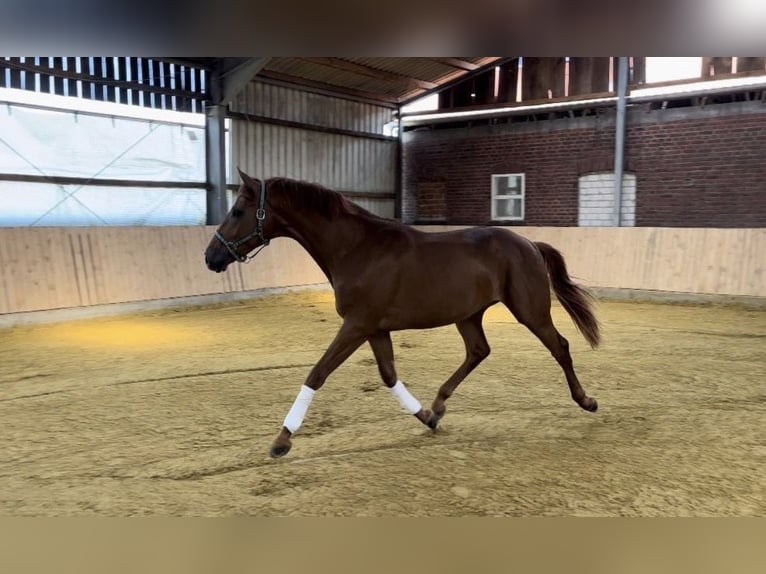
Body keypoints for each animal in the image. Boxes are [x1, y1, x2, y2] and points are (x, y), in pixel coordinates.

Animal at [207, 171, 604, 460]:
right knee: (478, 351)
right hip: (468, 314)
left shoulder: (356, 325)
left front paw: (281, 440)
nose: (211, 257)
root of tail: (530, 244)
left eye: (238, 211)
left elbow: (317, 373)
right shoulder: (374, 329)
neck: (357, 249)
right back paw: (439, 405)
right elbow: (388, 375)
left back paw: (587, 401)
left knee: (560, 346)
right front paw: (426, 417)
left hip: (530, 310)